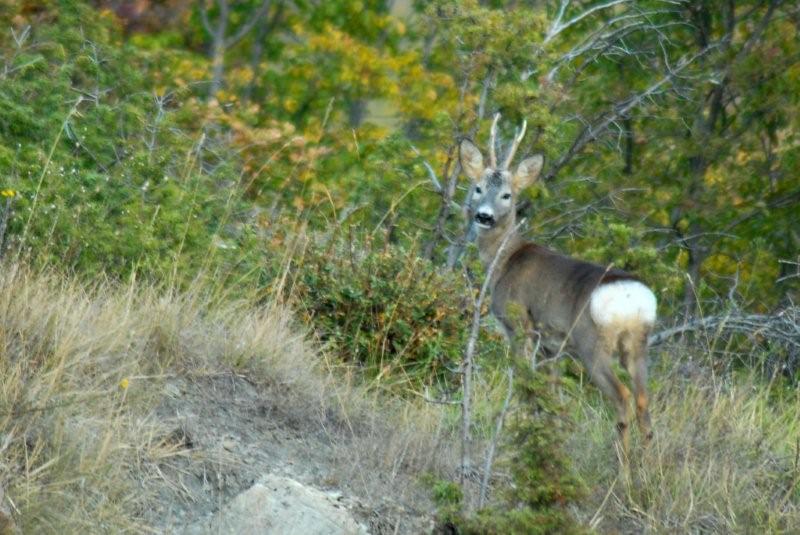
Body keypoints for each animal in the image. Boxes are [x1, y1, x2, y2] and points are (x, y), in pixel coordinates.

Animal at [460, 113, 660, 456]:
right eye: (477, 188)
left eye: (507, 195)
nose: (484, 216)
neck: (504, 261)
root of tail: (631, 300)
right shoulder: (551, 345)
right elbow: (551, 393)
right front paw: (549, 437)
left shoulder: (519, 325)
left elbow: (526, 383)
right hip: (638, 344)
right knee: (644, 401)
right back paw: (648, 464)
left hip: (592, 343)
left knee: (622, 397)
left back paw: (622, 462)